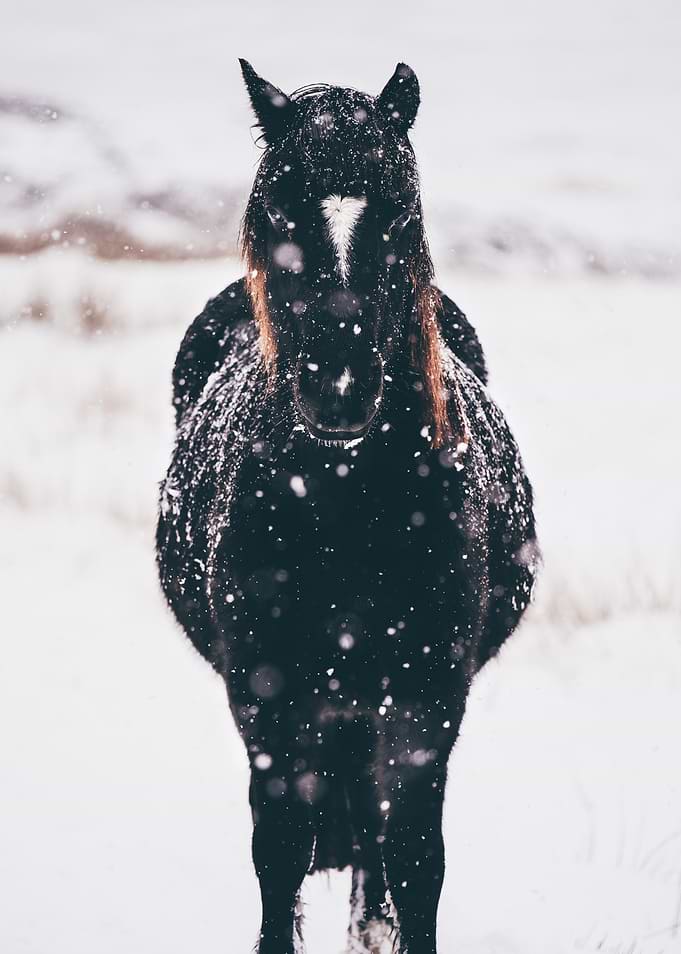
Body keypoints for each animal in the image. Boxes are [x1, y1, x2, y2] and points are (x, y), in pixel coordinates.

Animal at [156, 59, 538, 954]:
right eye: (276, 209)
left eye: (398, 209)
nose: (338, 389)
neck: (346, 508)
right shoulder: (268, 702)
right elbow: (279, 851)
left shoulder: (426, 701)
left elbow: (416, 854)